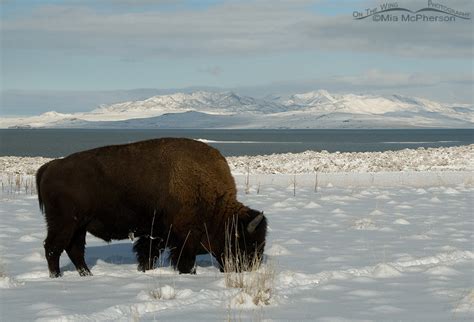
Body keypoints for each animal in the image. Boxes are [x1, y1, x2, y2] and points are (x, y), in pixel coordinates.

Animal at [36, 138, 266, 276]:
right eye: (247, 242)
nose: (249, 268)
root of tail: (50, 166)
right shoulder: (182, 238)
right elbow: (183, 259)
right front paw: (188, 273)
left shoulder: (155, 235)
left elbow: (147, 254)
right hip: (65, 224)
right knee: (53, 248)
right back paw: (56, 276)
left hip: (79, 227)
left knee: (74, 249)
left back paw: (87, 274)